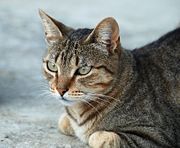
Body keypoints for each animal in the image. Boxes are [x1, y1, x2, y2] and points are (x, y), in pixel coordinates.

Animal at [38, 9, 179, 147]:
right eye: (52, 66)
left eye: (83, 70)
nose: (60, 90)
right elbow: (63, 122)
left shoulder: (155, 136)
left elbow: (96, 137)